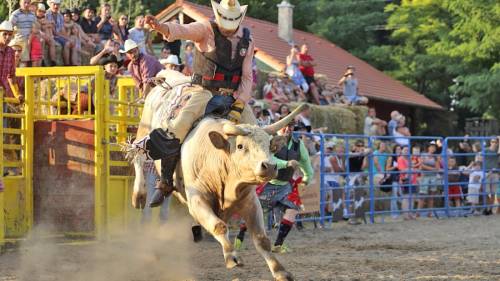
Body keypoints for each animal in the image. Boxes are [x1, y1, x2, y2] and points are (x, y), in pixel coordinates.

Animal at [129, 75, 306, 278]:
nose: (269, 166)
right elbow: (219, 225)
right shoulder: (197, 199)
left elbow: (261, 239)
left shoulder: (250, 200)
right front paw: (232, 256)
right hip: (144, 128)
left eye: (269, 147)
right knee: (138, 154)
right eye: (240, 146)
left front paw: (280, 271)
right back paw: (140, 195)